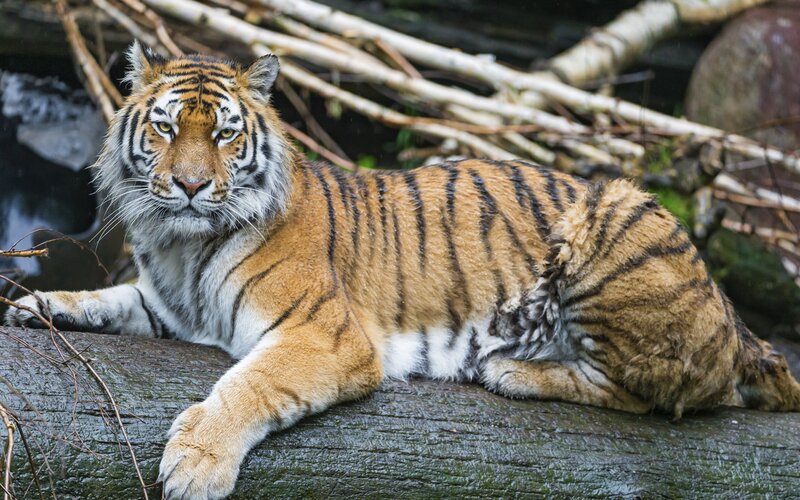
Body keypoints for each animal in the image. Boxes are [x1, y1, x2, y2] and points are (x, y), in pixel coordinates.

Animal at [6, 42, 800, 499]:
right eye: (168, 127)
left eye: (226, 134)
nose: (194, 186)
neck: (179, 241)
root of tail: (733, 314)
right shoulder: (168, 306)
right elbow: (109, 297)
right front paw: (39, 305)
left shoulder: (322, 335)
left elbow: (246, 386)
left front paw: (195, 465)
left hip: (614, 217)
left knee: (665, 396)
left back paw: (512, 369)